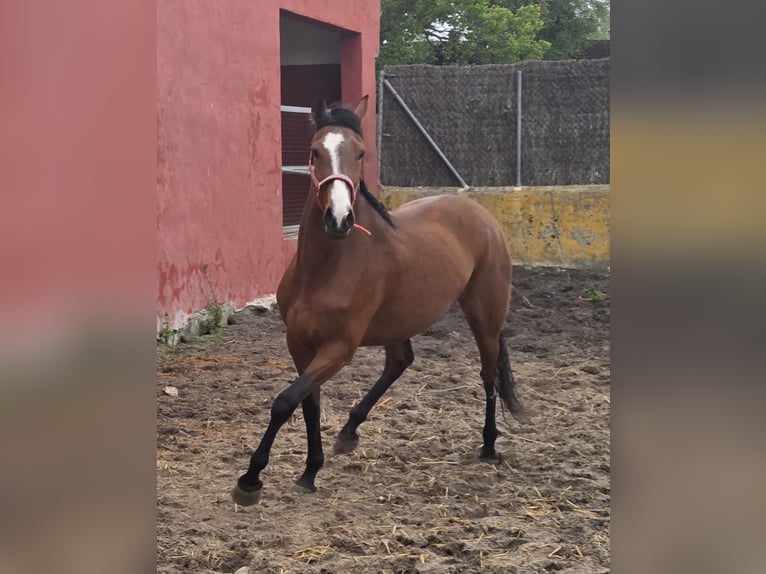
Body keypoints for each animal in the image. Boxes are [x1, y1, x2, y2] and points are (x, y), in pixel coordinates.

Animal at [231, 95, 525, 506]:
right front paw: (309, 471)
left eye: (360, 152)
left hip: (485, 316)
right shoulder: (299, 344)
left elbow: (285, 402)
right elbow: (308, 404)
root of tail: (482, 215)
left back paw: (488, 446)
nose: (338, 219)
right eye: (314, 151)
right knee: (400, 361)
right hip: (399, 322)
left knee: (487, 374)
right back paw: (349, 431)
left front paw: (251, 479)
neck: (325, 267)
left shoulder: (339, 348)